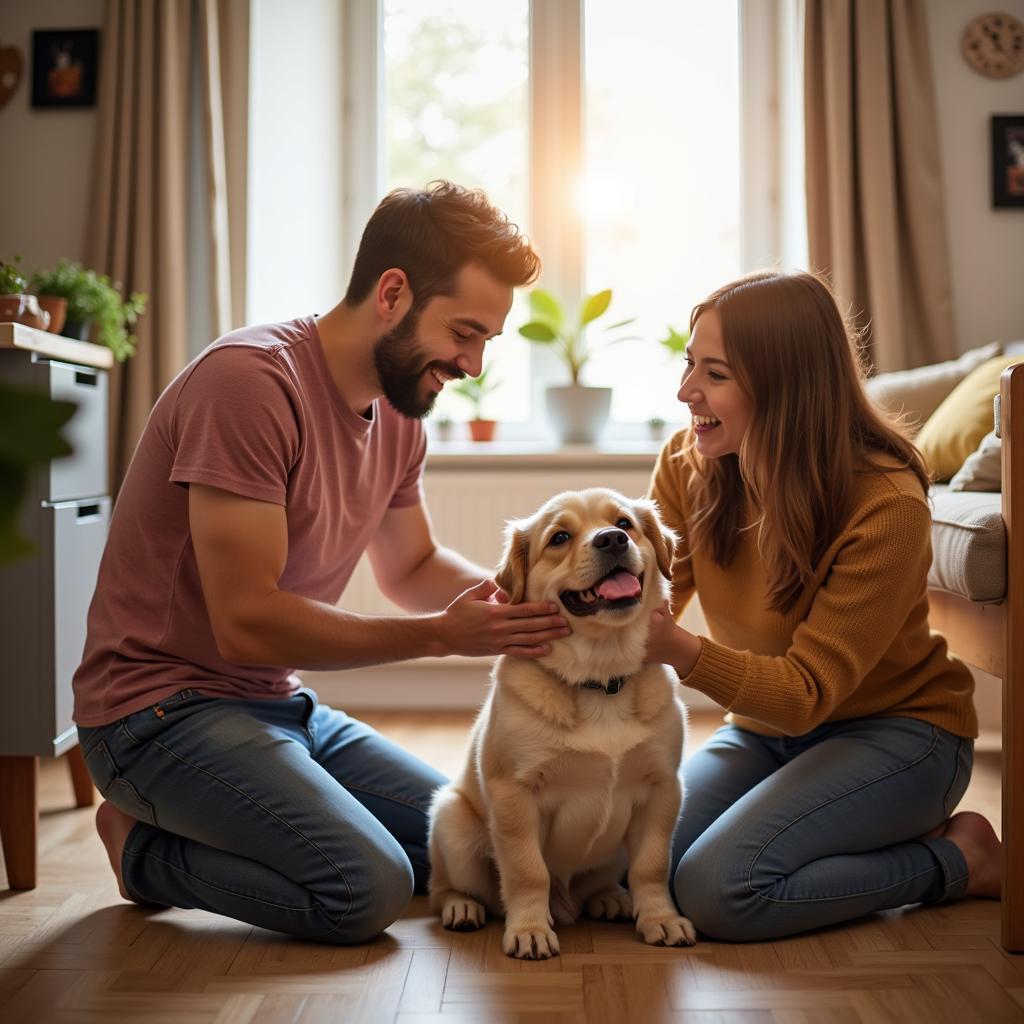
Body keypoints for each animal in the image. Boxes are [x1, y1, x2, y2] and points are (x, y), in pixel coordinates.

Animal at [423, 487, 696, 958]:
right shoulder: (514, 794)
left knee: (599, 884)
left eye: (624, 523)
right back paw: (461, 908)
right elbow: (527, 871)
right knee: (443, 888)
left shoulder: (663, 789)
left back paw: (611, 899)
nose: (611, 540)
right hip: (450, 822)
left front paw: (660, 919)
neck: (601, 678)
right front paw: (530, 930)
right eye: (560, 538)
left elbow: (651, 865)